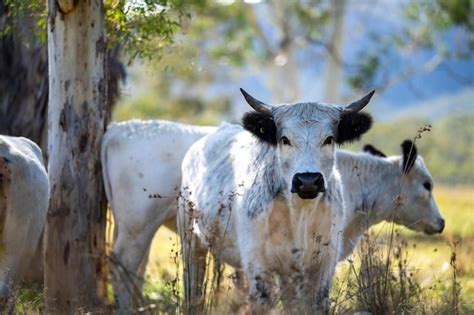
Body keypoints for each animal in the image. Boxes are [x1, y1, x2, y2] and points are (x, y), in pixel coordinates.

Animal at [178, 89, 374, 314]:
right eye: (285, 139)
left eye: (329, 139)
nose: (308, 180)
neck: (300, 214)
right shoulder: (258, 261)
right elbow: (263, 301)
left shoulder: (324, 262)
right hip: (190, 240)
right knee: (193, 285)